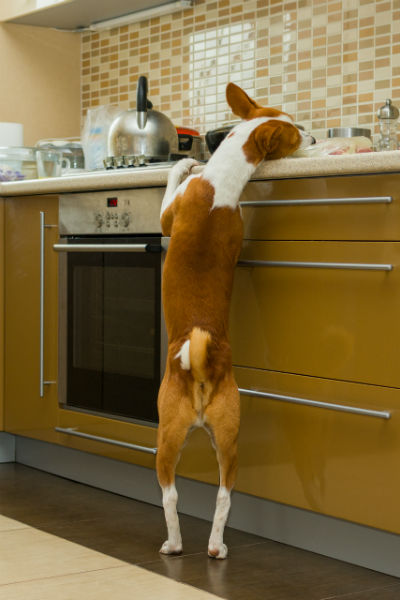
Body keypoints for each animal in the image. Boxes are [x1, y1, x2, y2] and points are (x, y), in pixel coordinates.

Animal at [155, 82, 310, 560]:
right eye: (299, 130)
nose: (317, 138)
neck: (220, 181)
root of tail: (204, 365)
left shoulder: (167, 215)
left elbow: (172, 183)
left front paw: (183, 162)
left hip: (165, 435)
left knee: (170, 494)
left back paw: (174, 544)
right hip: (228, 438)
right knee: (224, 495)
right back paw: (216, 546)